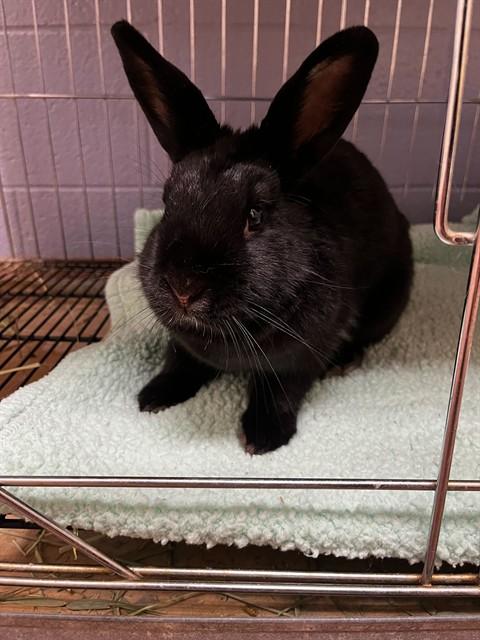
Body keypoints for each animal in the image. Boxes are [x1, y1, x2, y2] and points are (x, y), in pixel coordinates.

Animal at [111, 21, 413, 454]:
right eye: (167, 202)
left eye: (254, 215)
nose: (183, 288)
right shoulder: (181, 345)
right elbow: (179, 362)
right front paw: (154, 396)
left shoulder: (301, 356)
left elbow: (280, 389)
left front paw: (263, 436)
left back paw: (345, 361)